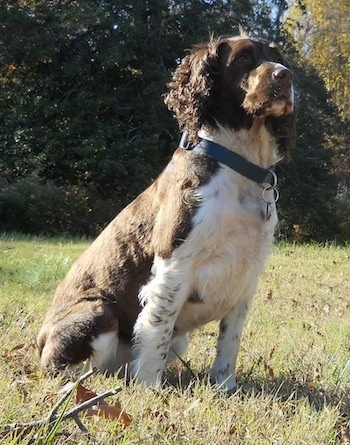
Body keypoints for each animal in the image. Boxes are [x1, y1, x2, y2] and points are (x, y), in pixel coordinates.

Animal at [37, 34, 296, 390]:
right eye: (243, 59)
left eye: (277, 56)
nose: (286, 76)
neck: (239, 169)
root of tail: (40, 339)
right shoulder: (174, 266)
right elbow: (155, 330)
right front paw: (150, 388)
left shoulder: (247, 276)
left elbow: (229, 344)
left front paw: (226, 389)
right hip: (97, 312)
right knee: (68, 370)